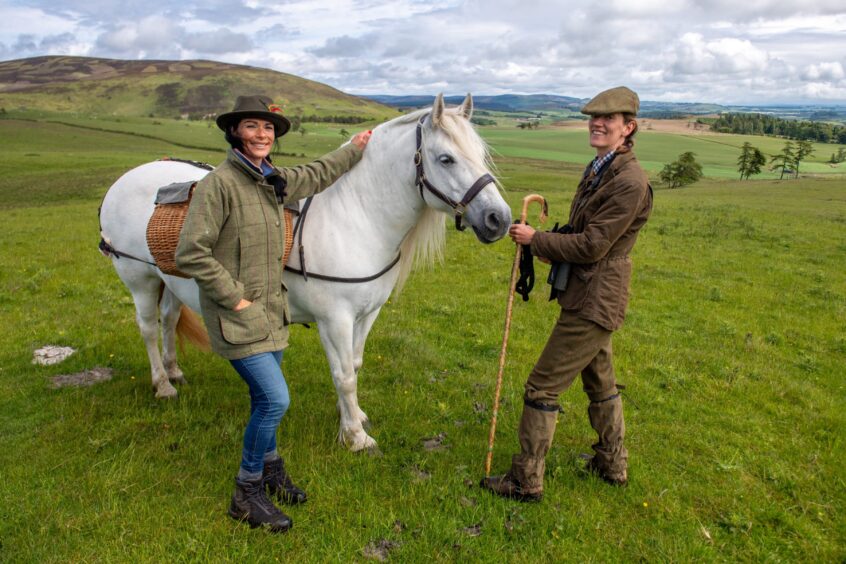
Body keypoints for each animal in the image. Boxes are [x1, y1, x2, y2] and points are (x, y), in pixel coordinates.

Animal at [99, 94, 510, 452]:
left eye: (480, 155)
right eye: (446, 159)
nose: (499, 219)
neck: (356, 217)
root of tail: (126, 179)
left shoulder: (367, 315)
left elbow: (354, 366)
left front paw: (353, 415)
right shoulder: (335, 320)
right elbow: (344, 376)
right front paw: (355, 437)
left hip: (168, 280)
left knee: (168, 320)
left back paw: (174, 372)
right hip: (139, 279)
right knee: (148, 327)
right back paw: (162, 384)